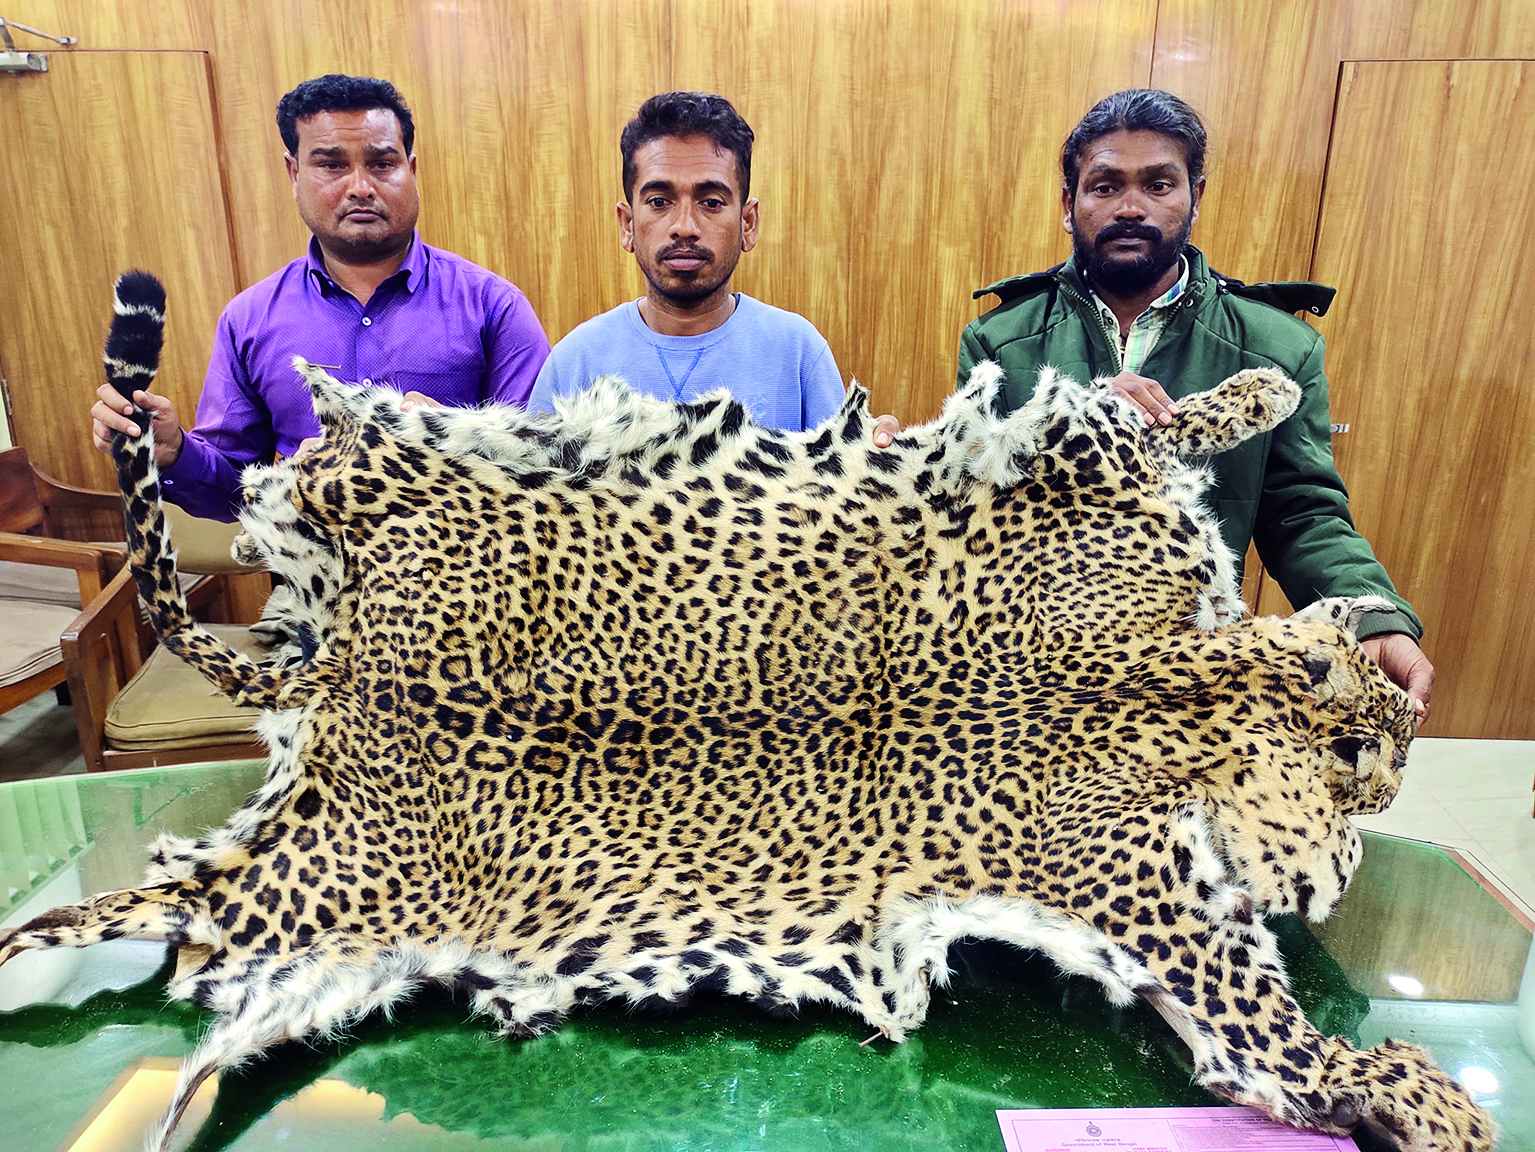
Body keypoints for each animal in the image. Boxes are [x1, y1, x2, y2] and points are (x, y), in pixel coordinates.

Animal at [0, 272, 1493, 1152]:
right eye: (1372, 760)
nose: (1393, 759)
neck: (1179, 688)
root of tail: (331, 662)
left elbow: (1165, 413)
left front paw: (1266, 382)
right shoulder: (1181, 937)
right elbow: (1299, 1050)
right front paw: (1437, 1107)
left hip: (307, 899)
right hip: (288, 876)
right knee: (74, 920)